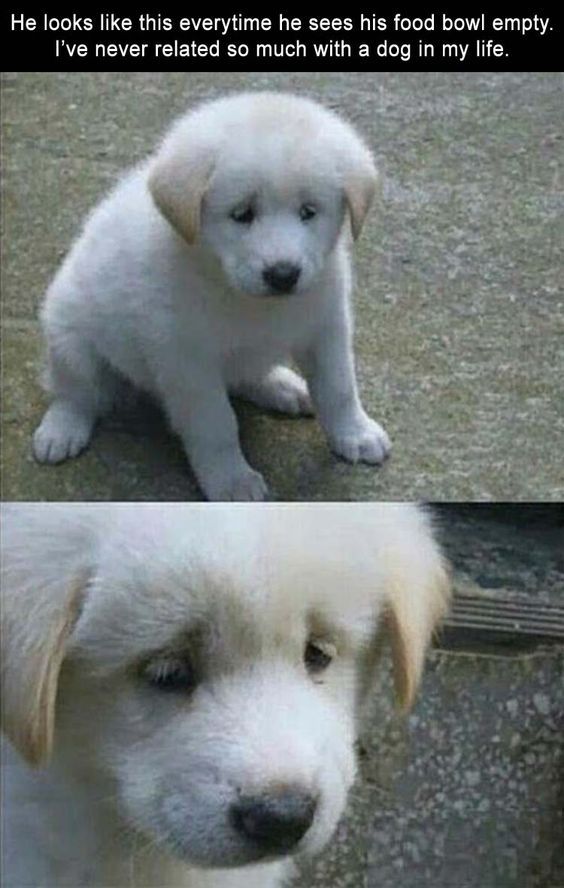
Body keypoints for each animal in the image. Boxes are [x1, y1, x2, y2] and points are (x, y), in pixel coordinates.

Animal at [32, 92, 391, 500]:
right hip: (69, 339)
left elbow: (339, 387)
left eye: (308, 212)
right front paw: (232, 480)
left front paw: (355, 433)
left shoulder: (327, 327)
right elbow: (216, 424)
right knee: (76, 392)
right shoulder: (188, 361)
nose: (283, 275)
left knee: (245, 375)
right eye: (242, 214)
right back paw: (62, 429)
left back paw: (280, 385)